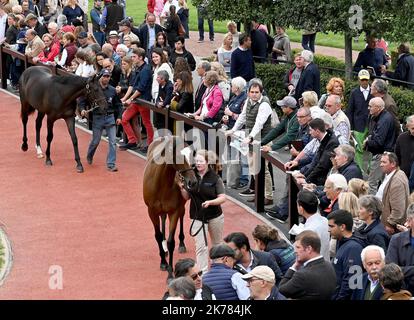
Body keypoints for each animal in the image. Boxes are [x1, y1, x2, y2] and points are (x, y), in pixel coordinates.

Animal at [143, 135, 198, 278]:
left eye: (192, 155)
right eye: (178, 156)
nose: (193, 182)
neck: (161, 183)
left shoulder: (174, 211)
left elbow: (171, 242)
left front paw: (170, 271)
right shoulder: (151, 211)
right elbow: (157, 236)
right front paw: (163, 261)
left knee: (182, 216)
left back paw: (181, 243)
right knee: (162, 218)